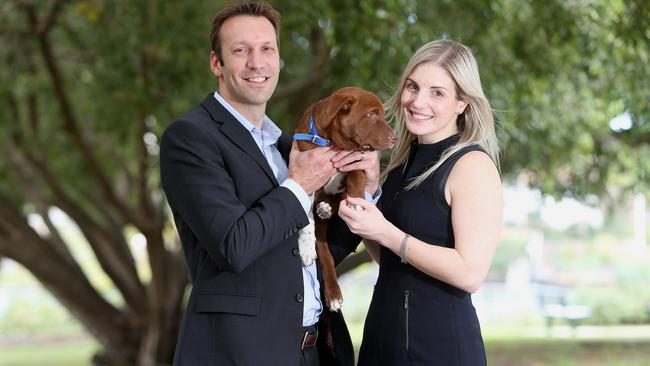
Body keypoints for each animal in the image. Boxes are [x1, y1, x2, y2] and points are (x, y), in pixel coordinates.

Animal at [294, 86, 394, 312]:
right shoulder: (305, 173)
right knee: (325, 255)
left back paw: (326, 209)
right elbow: (306, 217)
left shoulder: (357, 160)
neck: (333, 142)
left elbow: (357, 178)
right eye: (372, 115)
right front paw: (306, 248)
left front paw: (356, 206)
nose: (394, 137)